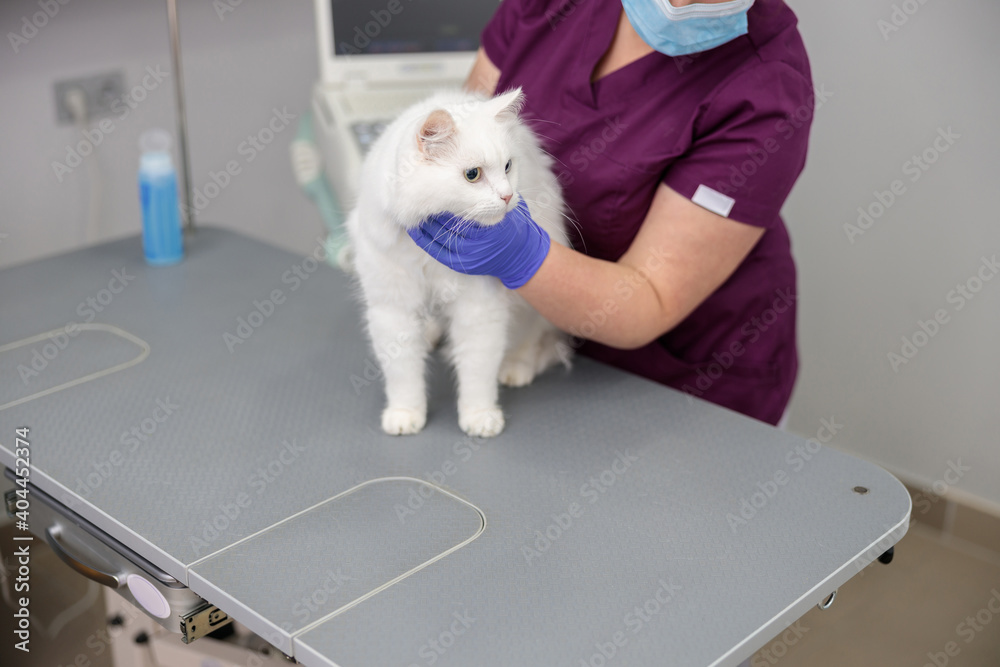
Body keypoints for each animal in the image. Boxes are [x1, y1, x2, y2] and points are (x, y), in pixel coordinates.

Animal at [346, 87, 572, 438]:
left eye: (508, 166)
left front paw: (480, 417)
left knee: (530, 338)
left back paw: (515, 368)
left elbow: (477, 370)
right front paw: (405, 415)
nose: (508, 196)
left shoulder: (479, 308)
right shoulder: (393, 309)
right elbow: (403, 373)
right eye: (472, 175)